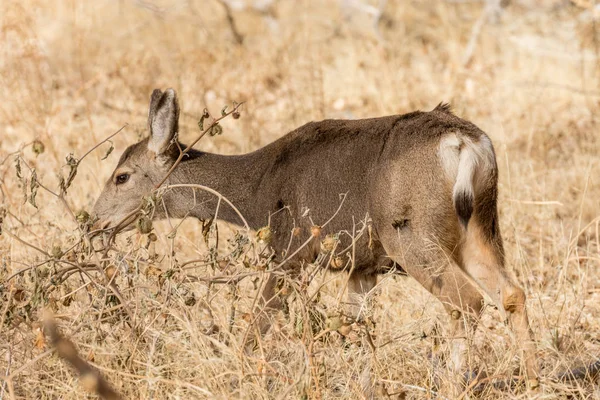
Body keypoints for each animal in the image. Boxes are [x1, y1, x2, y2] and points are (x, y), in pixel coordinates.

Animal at [92, 87, 540, 388]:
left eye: (122, 176)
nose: (94, 222)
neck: (257, 192)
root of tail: (464, 142)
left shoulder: (289, 249)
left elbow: (259, 322)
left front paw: (242, 372)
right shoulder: (363, 264)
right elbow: (354, 328)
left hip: (411, 232)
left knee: (467, 300)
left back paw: (454, 382)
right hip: (480, 224)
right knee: (511, 293)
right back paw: (534, 380)